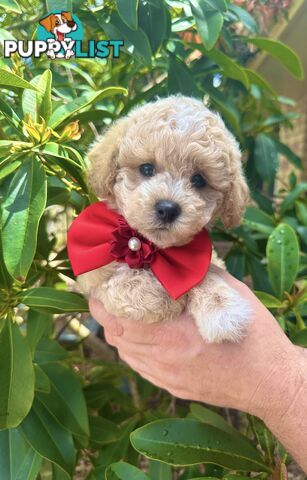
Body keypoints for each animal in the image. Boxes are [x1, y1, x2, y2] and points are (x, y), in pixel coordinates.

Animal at [76, 95, 251, 342]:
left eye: (199, 180)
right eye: (146, 168)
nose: (167, 209)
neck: (152, 248)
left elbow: (204, 275)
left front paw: (223, 309)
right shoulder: (92, 271)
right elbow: (121, 278)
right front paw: (159, 297)